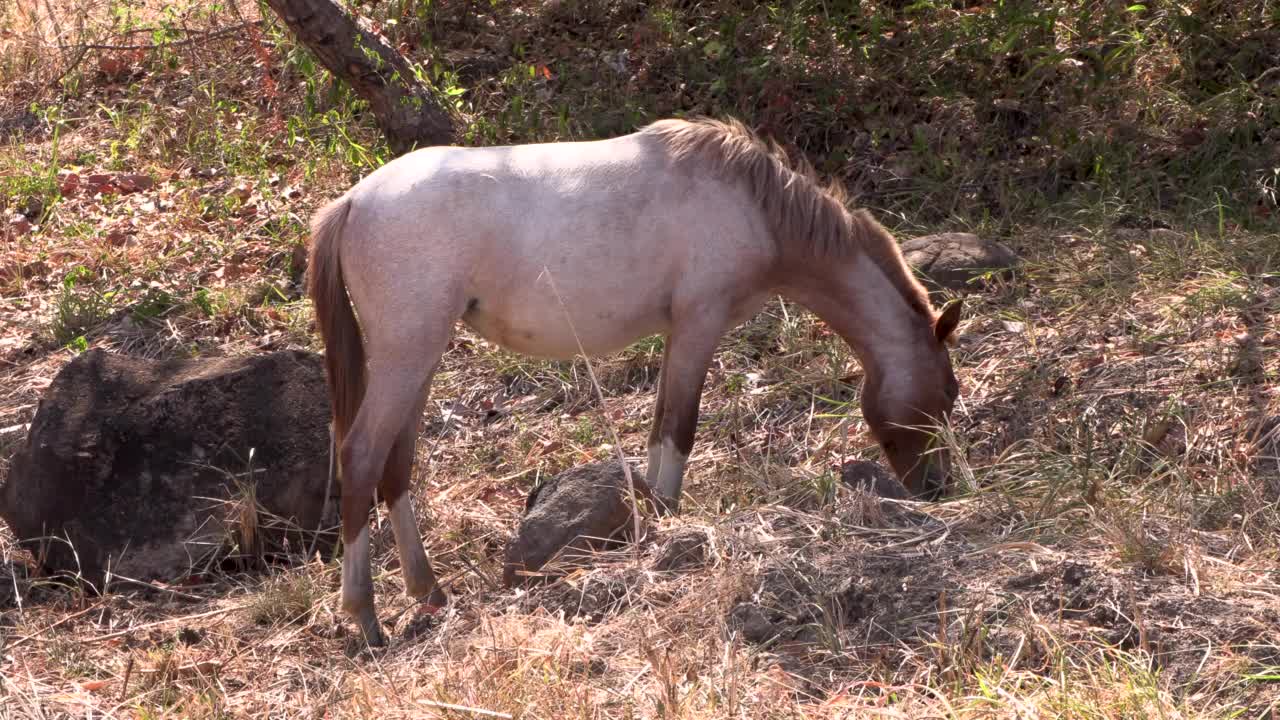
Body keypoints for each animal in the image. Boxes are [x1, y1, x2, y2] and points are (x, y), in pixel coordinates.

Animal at [304, 117, 962, 645]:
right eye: (948, 394)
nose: (938, 486)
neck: (754, 205)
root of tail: (354, 200)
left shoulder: (679, 336)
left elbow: (658, 431)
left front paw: (652, 528)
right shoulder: (699, 325)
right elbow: (679, 430)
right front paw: (669, 538)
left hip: (418, 361)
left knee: (396, 465)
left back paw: (428, 592)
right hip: (406, 357)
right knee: (362, 458)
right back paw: (365, 617)